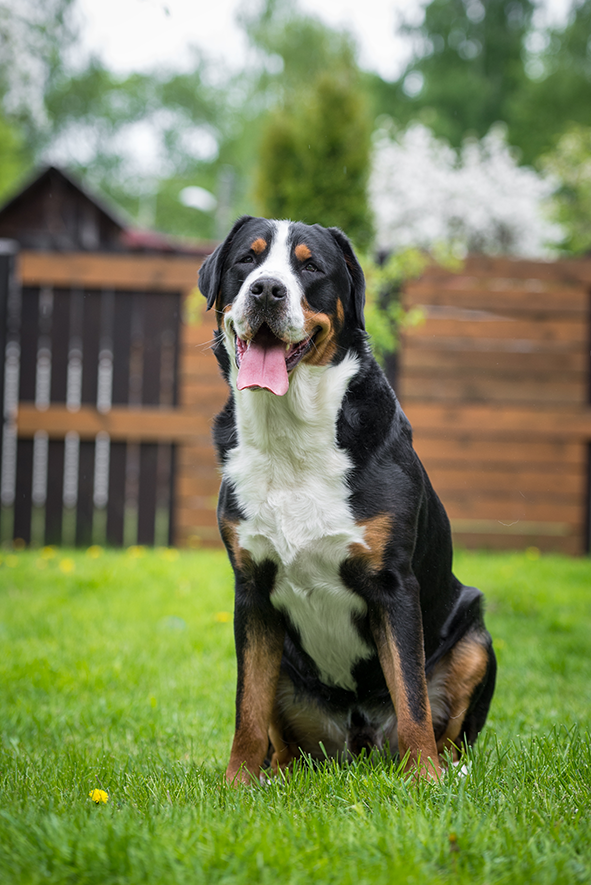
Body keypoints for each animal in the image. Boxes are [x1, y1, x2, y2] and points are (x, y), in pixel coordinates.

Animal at [199, 218, 494, 784]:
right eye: (247, 260)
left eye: (311, 266)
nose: (266, 290)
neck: (289, 433)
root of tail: (359, 744)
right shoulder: (251, 590)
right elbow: (248, 707)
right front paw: (236, 784)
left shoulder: (394, 586)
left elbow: (412, 696)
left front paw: (425, 781)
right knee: (284, 741)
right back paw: (275, 774)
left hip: (474, 639)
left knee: (451, 732)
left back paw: (449, 771)